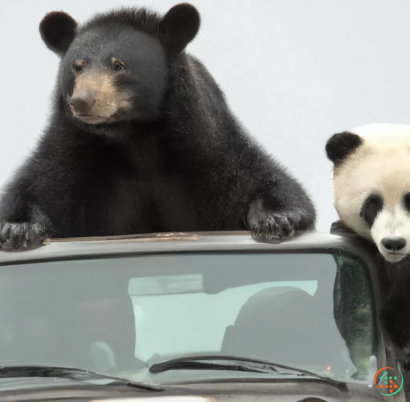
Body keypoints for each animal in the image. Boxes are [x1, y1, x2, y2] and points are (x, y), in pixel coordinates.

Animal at [0, 2, 316, 251]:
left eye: (118, 65)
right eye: (77, 66)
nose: (82, 101)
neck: (135, 136)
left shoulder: (208, 145)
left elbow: (257, 178)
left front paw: (276, 218)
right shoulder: (70, 146)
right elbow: (37, 186)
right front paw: (18, 227)